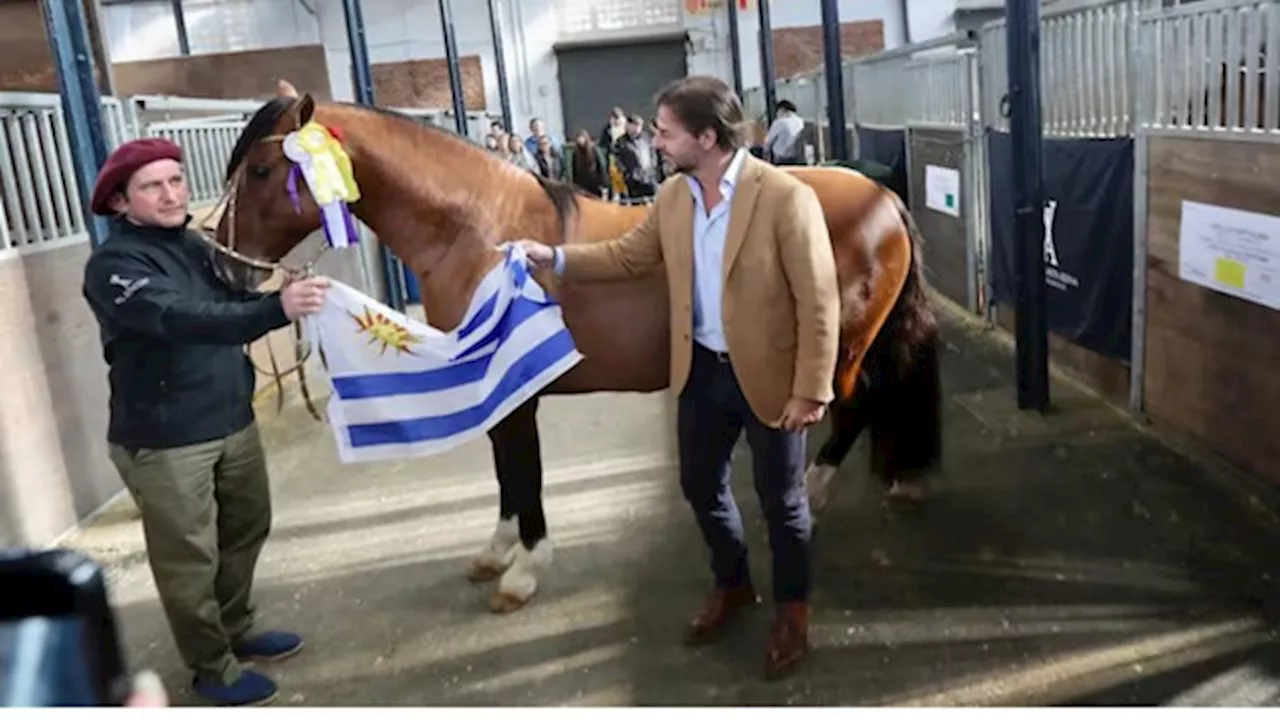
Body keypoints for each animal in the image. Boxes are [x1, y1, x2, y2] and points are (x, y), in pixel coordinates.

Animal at [209, 82, 947, 609]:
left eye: (267, 168)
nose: (228, 267)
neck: (477, 231)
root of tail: (880, 196)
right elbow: (506, 473)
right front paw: (498, 551)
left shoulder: (515, 388)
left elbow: (524, 471)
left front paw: (524, 569)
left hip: (840, 348)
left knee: (853, 407)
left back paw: (816, 496)